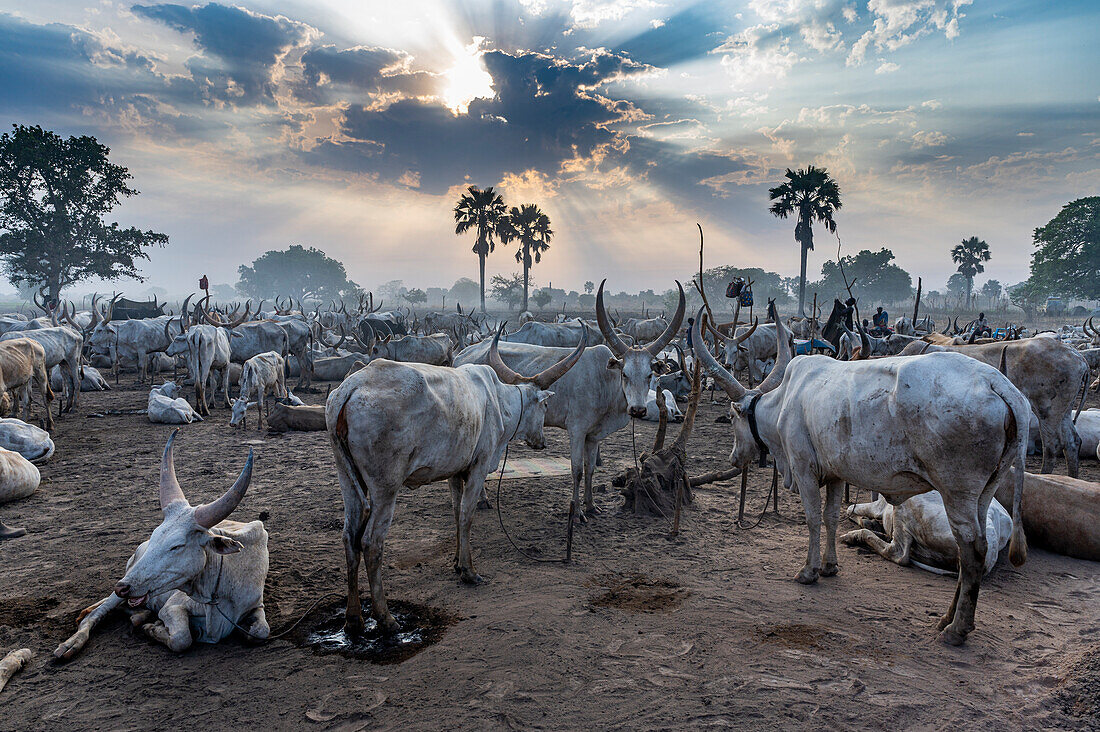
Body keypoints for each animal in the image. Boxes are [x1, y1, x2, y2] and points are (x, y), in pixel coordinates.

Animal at [55, 431, 268, 660]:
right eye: (155, 536)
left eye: (177, 546)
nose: (123, 587)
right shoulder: (172, 607)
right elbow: (182, 639)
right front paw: (153, 629)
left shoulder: (256, 605)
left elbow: (261, 631)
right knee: (95, 614)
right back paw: (71, 644)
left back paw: (138, 615)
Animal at [323, 325, 585, 634]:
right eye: (544, 407)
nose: (541, 442)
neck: (499, 401)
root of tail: (350, 389)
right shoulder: (478, 467)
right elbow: (466, 516)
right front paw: (469, 571)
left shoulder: (454, 472)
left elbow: (456, 513)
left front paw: (458, 562)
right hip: (385, 487)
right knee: (371, 543)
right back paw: (386, 617)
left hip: (347, 479)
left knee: (349, 538)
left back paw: (353, 618)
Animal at [453, 277, 677, 517]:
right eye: (624, 374)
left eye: (649, 375)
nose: (637, 409)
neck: (604, 381)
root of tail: (462, 355)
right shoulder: (576, 430)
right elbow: (577, 470)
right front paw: (577, 512)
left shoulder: (593, 436)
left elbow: (590, 469)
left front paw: (591, 506)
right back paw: (483, 499)